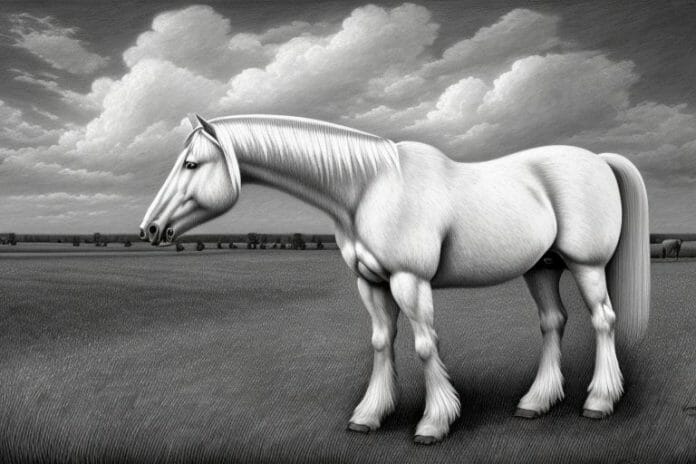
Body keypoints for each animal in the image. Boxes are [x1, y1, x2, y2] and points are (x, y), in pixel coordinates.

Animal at [139, 114, 650, 444]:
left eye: (191, 164)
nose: (150, 229)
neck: (369, 187)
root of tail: (599, 160)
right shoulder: (371, 283)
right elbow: (382, 342)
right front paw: (369, 415)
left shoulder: (410, 280)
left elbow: (425, 345)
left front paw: (434, 424)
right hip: (541, 268)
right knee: (553, 322)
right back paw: (536, 402)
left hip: (585, 265)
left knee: (602, 320)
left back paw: (599, 402)